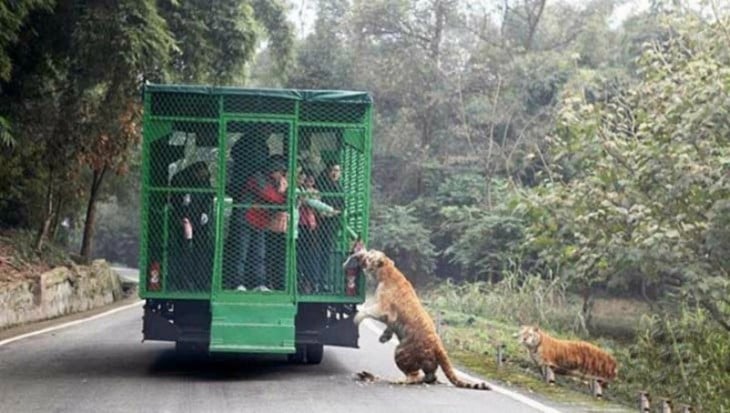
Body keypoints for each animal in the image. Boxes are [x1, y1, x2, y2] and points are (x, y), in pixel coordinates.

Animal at [344, 246, 492, 392]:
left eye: (370, 254)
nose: (362, 252)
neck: (386, 271)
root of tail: (439, 345)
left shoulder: (383, 308)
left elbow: (367, 311)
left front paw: (357, 318)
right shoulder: (389, 318)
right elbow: (389, 326)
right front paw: (384, 337)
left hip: (401, 351)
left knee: (415, 376)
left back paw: (398, 381)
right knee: (431, 377)